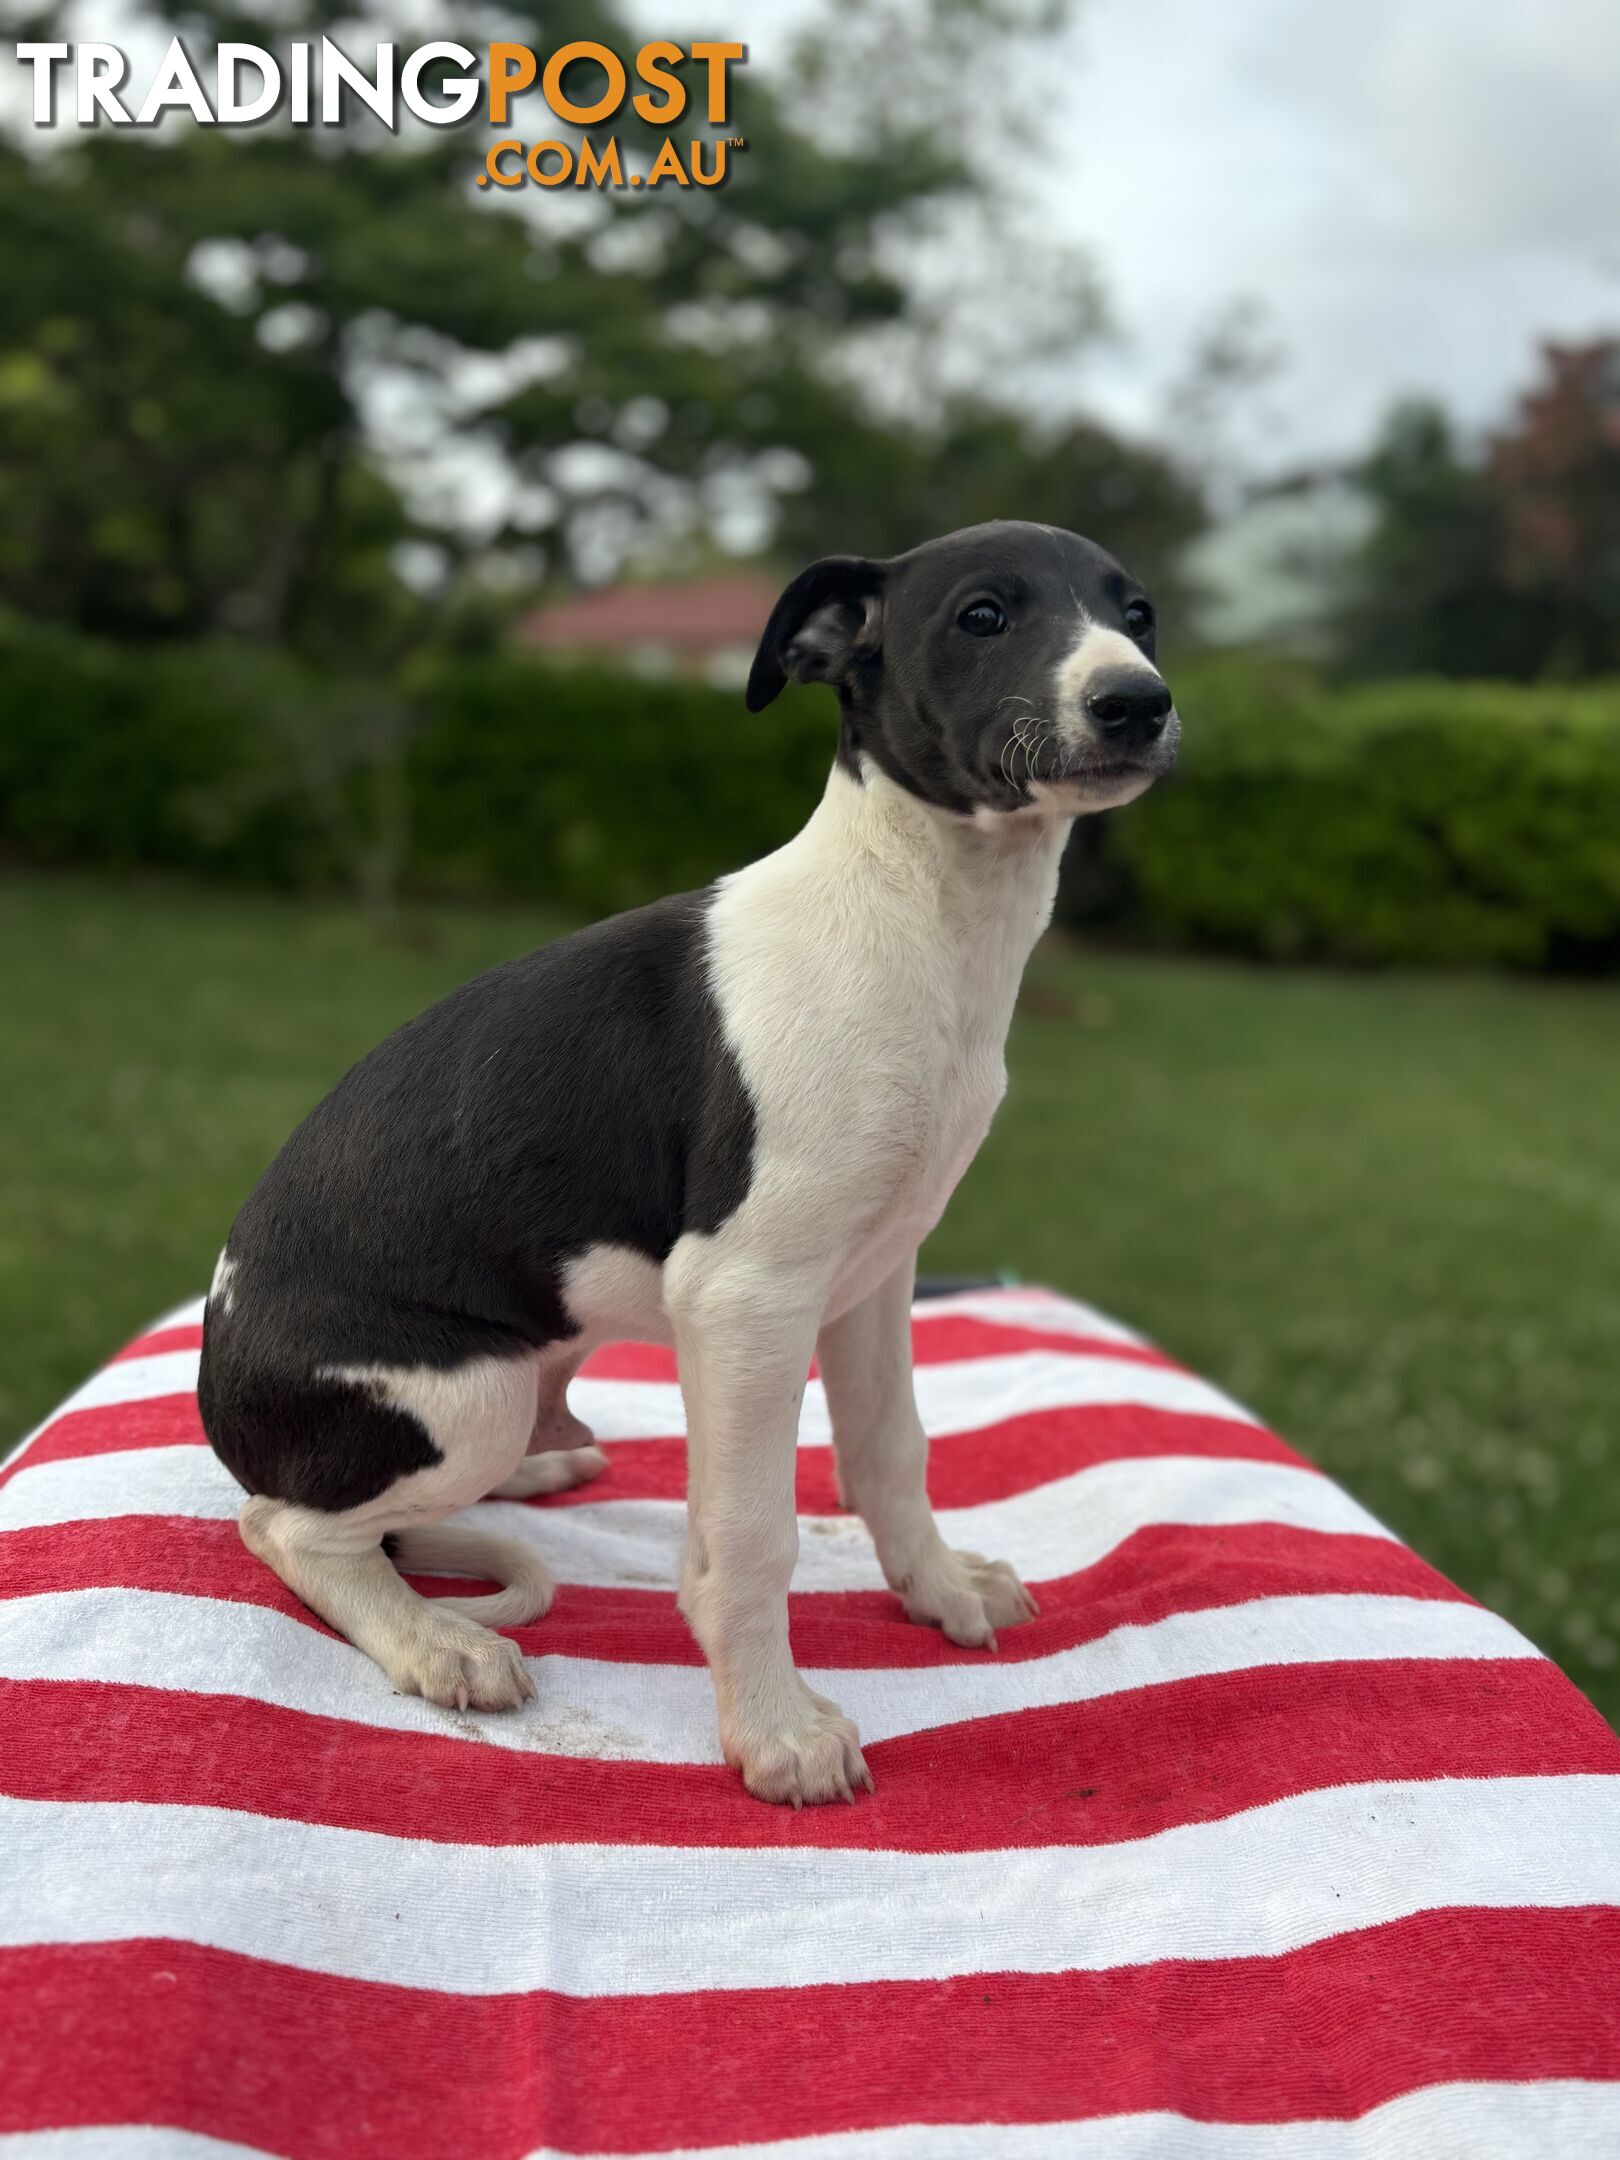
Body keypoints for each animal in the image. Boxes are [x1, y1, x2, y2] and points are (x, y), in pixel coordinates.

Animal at [203, 522, 1183, 1805]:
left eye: (1139, 613)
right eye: (983, 615)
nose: (1137, 701)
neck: (921, 920)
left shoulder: (875, 1273)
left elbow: (892, 1450)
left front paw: (937, 1590)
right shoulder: (748, 1299)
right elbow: (754, 1537)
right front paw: (774, 1730)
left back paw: (536, 1480)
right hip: (471, 1391)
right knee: (288, 1526)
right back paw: (434, 1638)